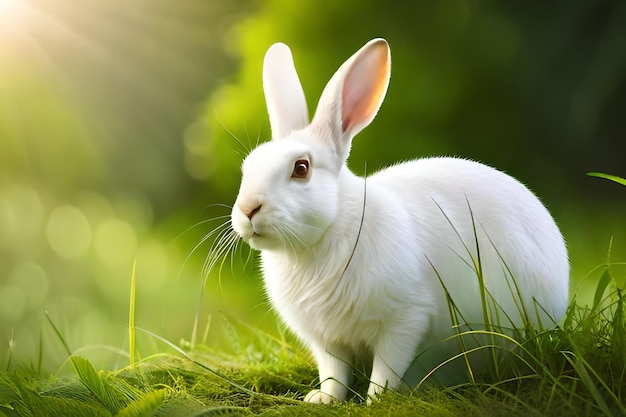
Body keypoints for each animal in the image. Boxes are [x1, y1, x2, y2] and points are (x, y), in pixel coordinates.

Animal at [229, 39, 564, 404]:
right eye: (247, 167)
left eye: (301, 168)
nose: (248, 208)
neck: (322, 238)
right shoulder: (328, 340)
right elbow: (334, 374)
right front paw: (324, 399)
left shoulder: (405, 319)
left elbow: (387, 367)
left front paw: (376, 400)